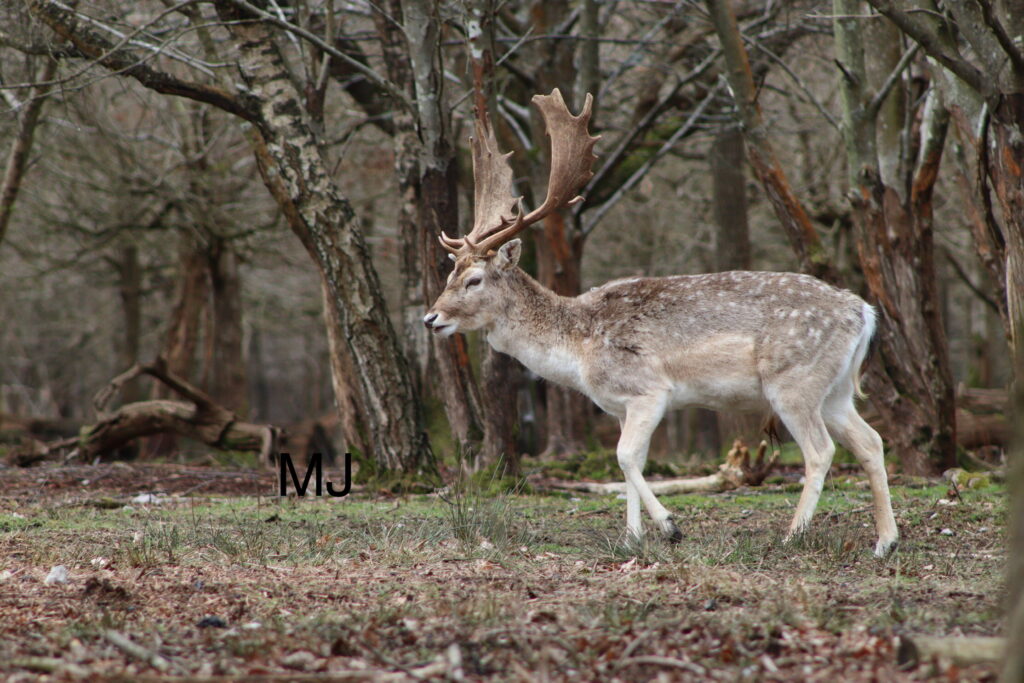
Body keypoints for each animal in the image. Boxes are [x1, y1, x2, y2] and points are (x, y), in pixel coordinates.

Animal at [424, 89, 899, 557]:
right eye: (448, 274)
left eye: (474, 279)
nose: (431, 318)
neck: (580, 350)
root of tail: (863, 311)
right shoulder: (621, 407)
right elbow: (631, 461)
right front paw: (632, 539)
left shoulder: (649, 390)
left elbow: (624, 458)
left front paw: (670, 527)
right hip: (835, 390)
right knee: (871, 441)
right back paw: (885, 542)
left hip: (793, 381)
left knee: (820, 451)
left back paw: (793, 535)